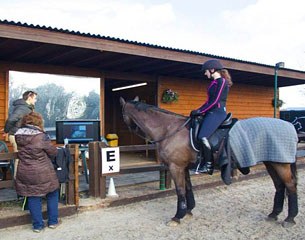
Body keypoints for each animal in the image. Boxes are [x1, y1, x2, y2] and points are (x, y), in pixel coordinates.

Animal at [119, 97, 296, 227]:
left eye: (122, 114)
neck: (170, 129)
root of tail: (289, 126)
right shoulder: (184, 167)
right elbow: (188, 188)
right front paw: (189, 210)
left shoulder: (176, 167)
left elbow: (180, 190)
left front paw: (177, 216)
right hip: (271, 163)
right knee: (280, 186)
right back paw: (274, 214)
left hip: (280, 164)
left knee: (290, 186)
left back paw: (289, 219)